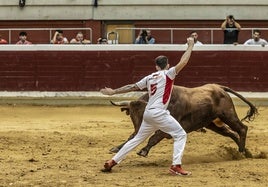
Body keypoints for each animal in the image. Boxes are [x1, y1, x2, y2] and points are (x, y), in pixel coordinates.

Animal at [109, 84, 258, 157]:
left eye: (145, 115)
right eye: (131, 116)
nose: (139, 129)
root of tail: (219, 87)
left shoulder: (168, 128)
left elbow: (153, 138)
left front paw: (143, 151)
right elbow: (131, 138)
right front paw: (117, 148)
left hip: (227, 114)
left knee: (242, 128)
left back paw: (241, 152)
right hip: (212, 123)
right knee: (232, 134)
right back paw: (243, 152)